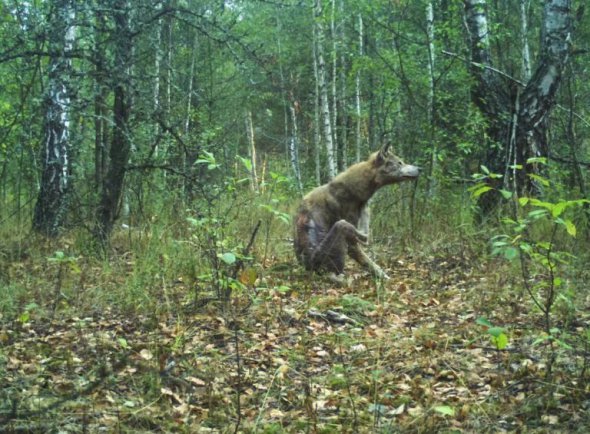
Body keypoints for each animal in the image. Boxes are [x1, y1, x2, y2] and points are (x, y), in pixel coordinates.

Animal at [294, 145, 418, 282]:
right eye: (399, 162)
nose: (420, 168)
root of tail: (307, 269)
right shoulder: (351, 239)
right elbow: (366, 259)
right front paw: (384, 277)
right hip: (334, 238)